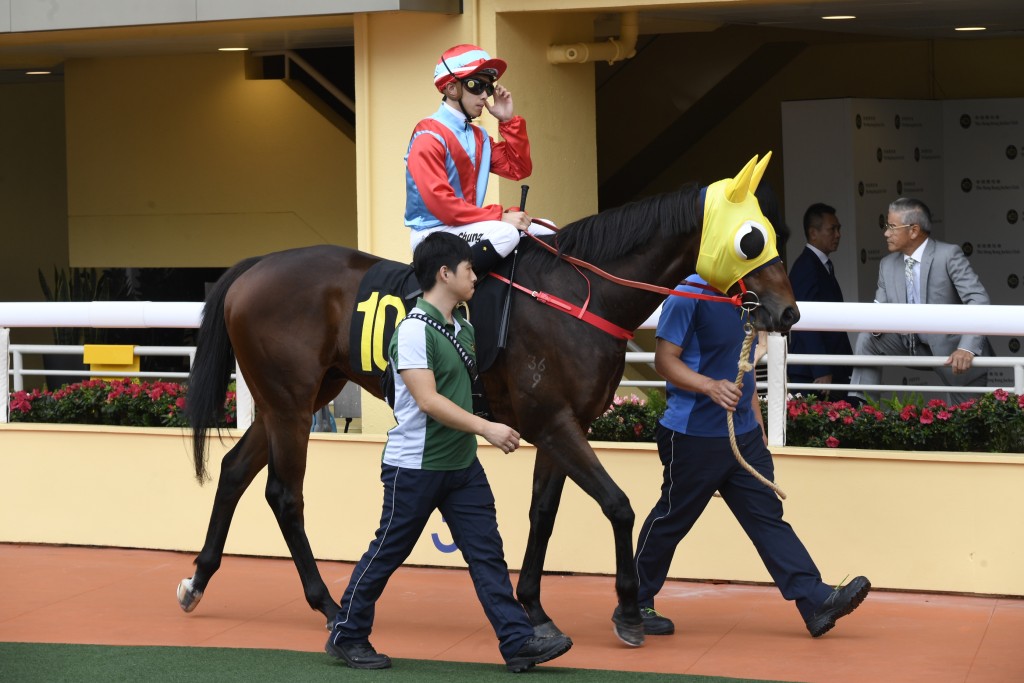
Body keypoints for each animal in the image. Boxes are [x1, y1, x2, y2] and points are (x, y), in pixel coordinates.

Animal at [176, 153, 798, 647]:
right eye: (751, 238)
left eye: (774, 232)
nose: (787, 312)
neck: (577, 297)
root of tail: (256, 265)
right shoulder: (554, 422)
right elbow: (619, 505)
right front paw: (626, 610)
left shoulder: (564, 427)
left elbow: (544, 513)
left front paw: (535, 608)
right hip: (289, 401)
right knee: (285, 494)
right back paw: (328, 604)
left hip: (295, 399)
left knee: (234, 471)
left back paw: (198, 580)